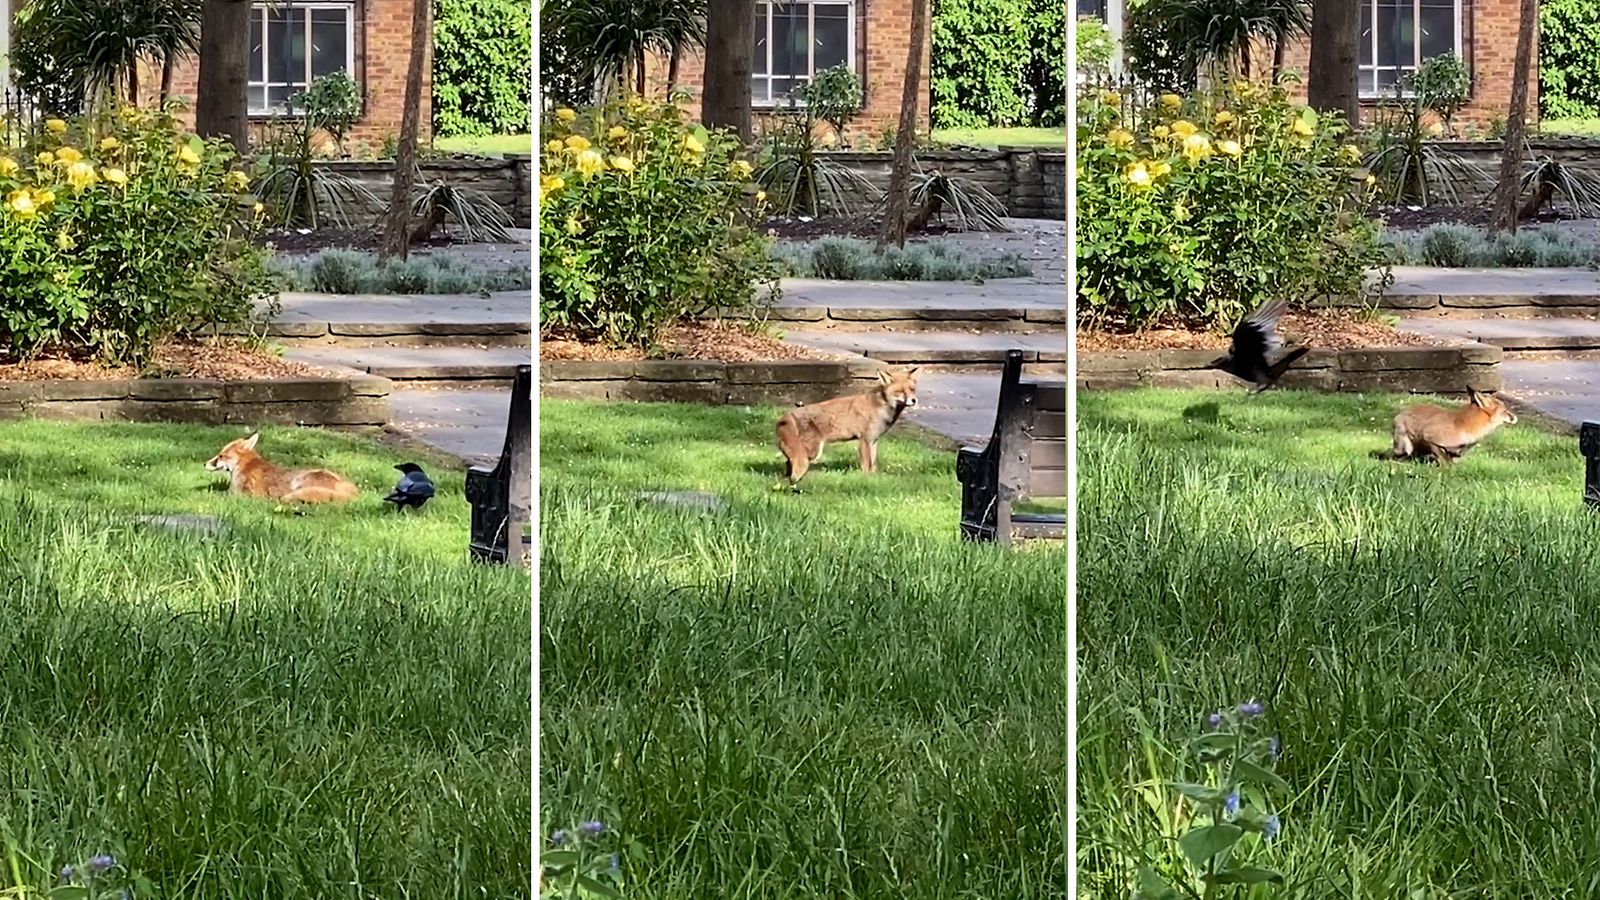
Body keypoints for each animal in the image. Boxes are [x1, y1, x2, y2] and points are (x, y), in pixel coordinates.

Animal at [777, 366, 928, 486]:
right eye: (900, 391)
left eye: (912, 389)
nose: (914, 400)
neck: (882, 407)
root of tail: (788, 415)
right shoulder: (864, 440)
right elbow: (866, 465)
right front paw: (866, 479)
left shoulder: (874, 440)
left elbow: (873, 464)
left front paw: (874, 479)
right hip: (813, 452)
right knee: (792, 462)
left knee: (788, 462)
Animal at [1382, 387, 1516, 464]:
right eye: (1504, 411)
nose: (1515, 417)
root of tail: (1399, 413)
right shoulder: (1430, 438)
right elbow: (1446, 462)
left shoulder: (1457, 452)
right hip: (1405, 446)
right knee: (1399, 455)